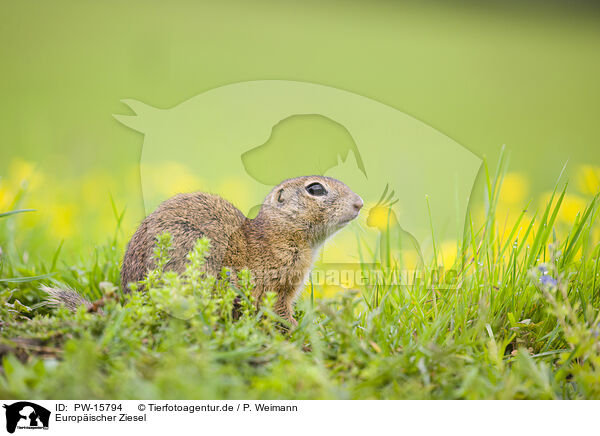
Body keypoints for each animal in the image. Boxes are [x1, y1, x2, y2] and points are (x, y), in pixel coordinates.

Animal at [43, 175, 360, 326]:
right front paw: (296, 327)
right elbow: (279, 309)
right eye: (315, 189)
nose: (359, 203)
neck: (281, 229)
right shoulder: (276, 285)